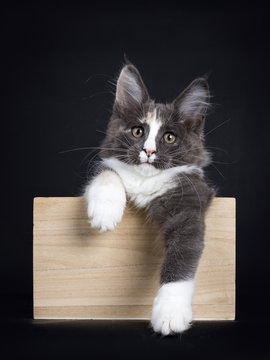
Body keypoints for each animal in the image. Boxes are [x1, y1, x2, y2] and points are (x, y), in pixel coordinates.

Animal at [84, 62, 215, 334]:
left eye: (169, 137)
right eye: (138, 131)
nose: (148, 151)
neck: (145, 181)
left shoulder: (190, 201)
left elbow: (182, 256)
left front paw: (170, 312)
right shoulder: (109, 164)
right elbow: (108, 173)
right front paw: (104, 213)